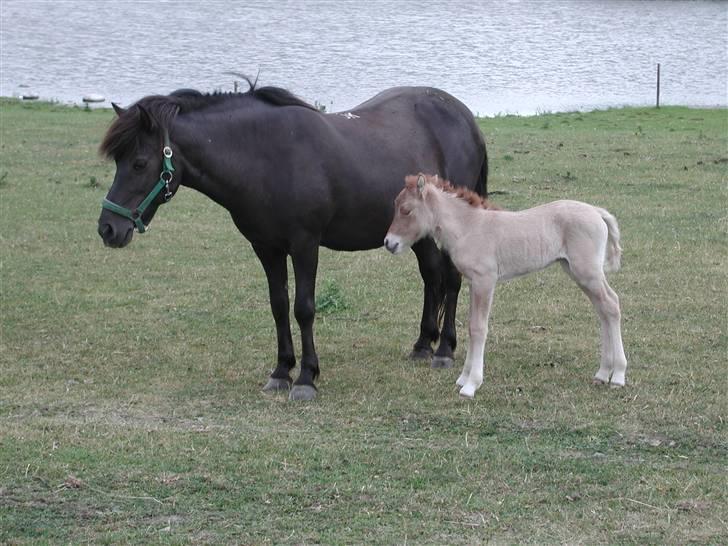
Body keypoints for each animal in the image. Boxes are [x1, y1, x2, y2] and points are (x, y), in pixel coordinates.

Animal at [95, 79, 484, 400]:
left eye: (140, 163)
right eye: (118, 161)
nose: (108, 228)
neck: (266, 156)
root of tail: (464, 117)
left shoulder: (304, 245)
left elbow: (304, 308)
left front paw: (307, 378)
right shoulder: (266, 248)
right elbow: (279, 306)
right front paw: (282, 370)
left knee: (451, 280)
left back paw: (445, 350)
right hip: (419, 235)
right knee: (432, 277)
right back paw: (423, 344)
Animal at [384, 176, 628, 398]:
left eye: (406, 210)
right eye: (395, 205)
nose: (389, 243)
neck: (469, 227)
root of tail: (597, 211)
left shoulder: (485, 281)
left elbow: (479, 328)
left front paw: (471, 385)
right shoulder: (473, 282)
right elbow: (471, 326)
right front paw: (463, 378)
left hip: (587, 272)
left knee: (611, 304)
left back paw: (618, 376)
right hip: (578, 273)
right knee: (603, 309)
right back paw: (602, 374)